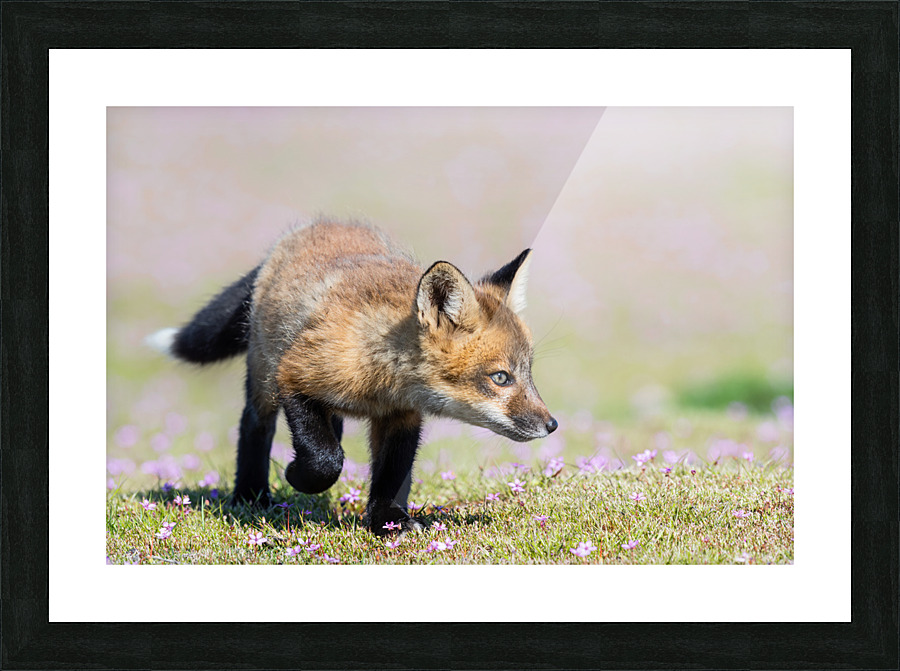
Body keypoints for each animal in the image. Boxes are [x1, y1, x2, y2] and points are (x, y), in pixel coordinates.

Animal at [148, 219, 557, 536]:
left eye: (528, 371)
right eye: (501, 377)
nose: (552, 425)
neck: (381, 381)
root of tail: (313, 225)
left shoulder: (401, 417)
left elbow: (390, 475)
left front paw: (387, 522)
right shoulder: (293, 376)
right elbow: (325, 460)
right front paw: (297, 476)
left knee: (333, 426)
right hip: (263, 376)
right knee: (255, 427)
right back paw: (252, 496)